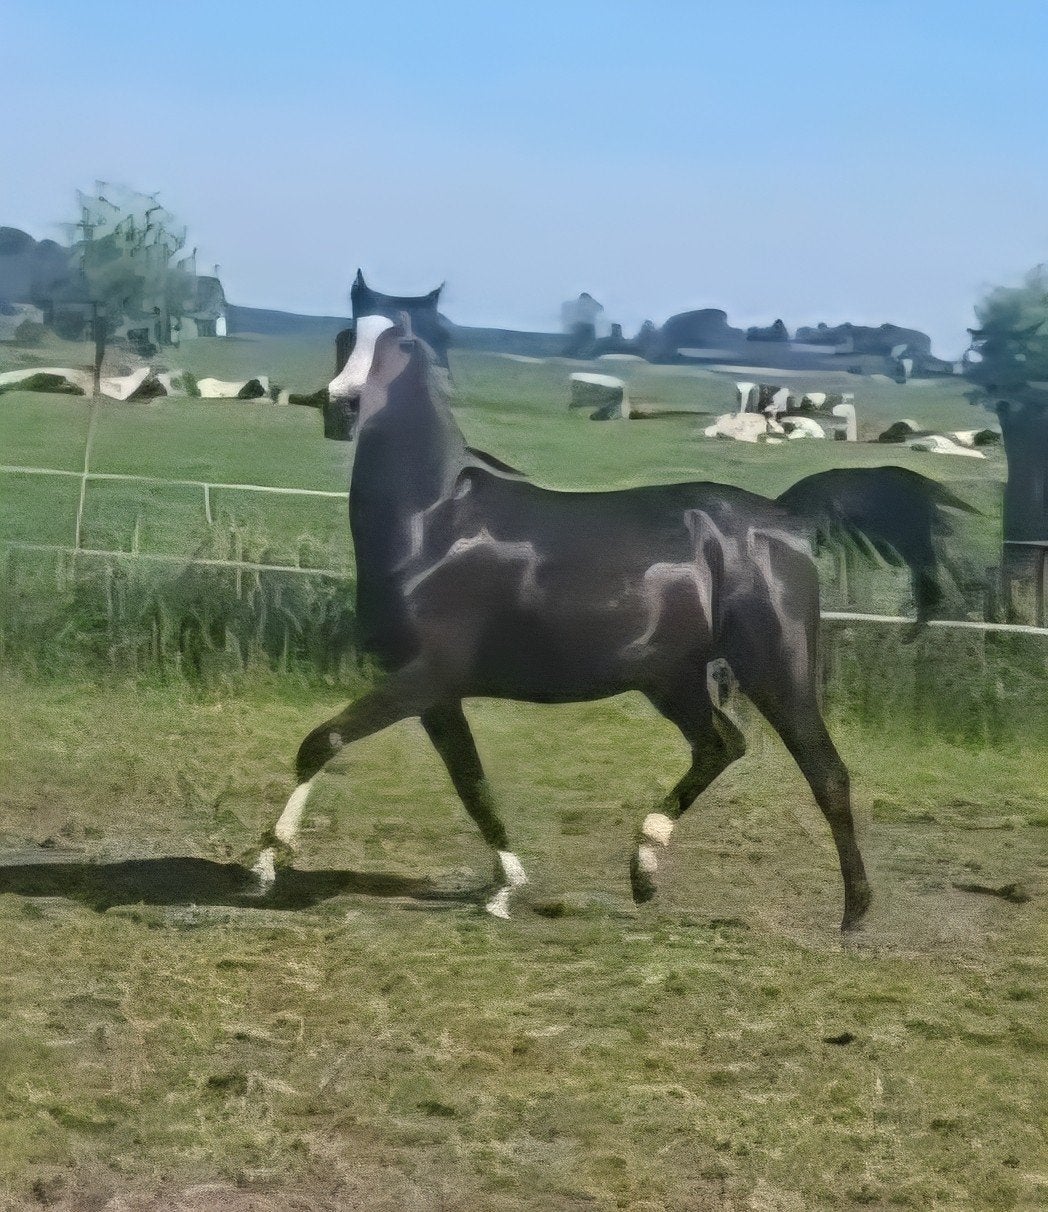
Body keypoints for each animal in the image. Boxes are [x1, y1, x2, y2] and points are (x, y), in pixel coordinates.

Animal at [251, 315, 970, 929]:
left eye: (398, 349)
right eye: (345, 339)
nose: (341, 406)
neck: (432, 528)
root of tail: (785, 519)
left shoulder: (424, 678)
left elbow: (323, 742)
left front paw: (266, 862)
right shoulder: (437, 695)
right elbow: (472, 784)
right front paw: (506, 888)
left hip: (775, 666)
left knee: (826, 772)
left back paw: (853, 914)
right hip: (671, 679)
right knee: (721, 744)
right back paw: (644, 868)